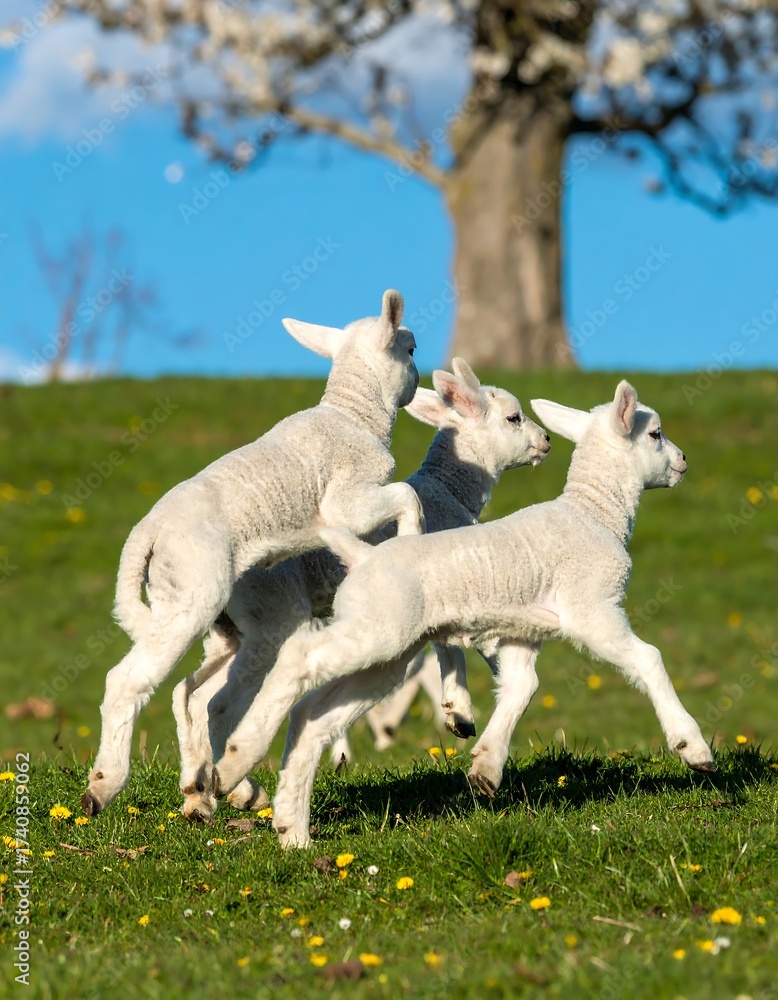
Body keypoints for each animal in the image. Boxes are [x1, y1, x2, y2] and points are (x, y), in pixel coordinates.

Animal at [82, 290, 423, 816]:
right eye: (410, 349)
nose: (420, 380)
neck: (353, 416)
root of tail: (146, 532)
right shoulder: (347, 500)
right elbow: (406, 495)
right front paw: (411, 534)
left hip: (188, 602)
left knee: (191, 695)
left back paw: (204, 791)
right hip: (194, 591)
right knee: (128, 681)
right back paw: (105, 785)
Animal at [174, 360, 551, 822]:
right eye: (513, 418)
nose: (547, 441)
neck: (448, 492)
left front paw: (456, 713)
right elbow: (454, 651)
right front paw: (460, 713)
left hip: (228, 633)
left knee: (193, 697)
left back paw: (199, 793)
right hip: (270, 616)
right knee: (218, 704)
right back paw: (234, 785)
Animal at [212, 380, 715, 839]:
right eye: (655, 434)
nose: (684, 461)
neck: (593, 514)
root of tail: (362, 555)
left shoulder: (521, 631)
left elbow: (522, 687)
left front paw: (486, 769)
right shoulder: (592, 608)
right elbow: (649, 658)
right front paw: (693, 748)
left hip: (387, 651)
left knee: (313, 717)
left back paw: (291, 830)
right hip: (376, 629)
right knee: (296, 660)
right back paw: (234, 765)